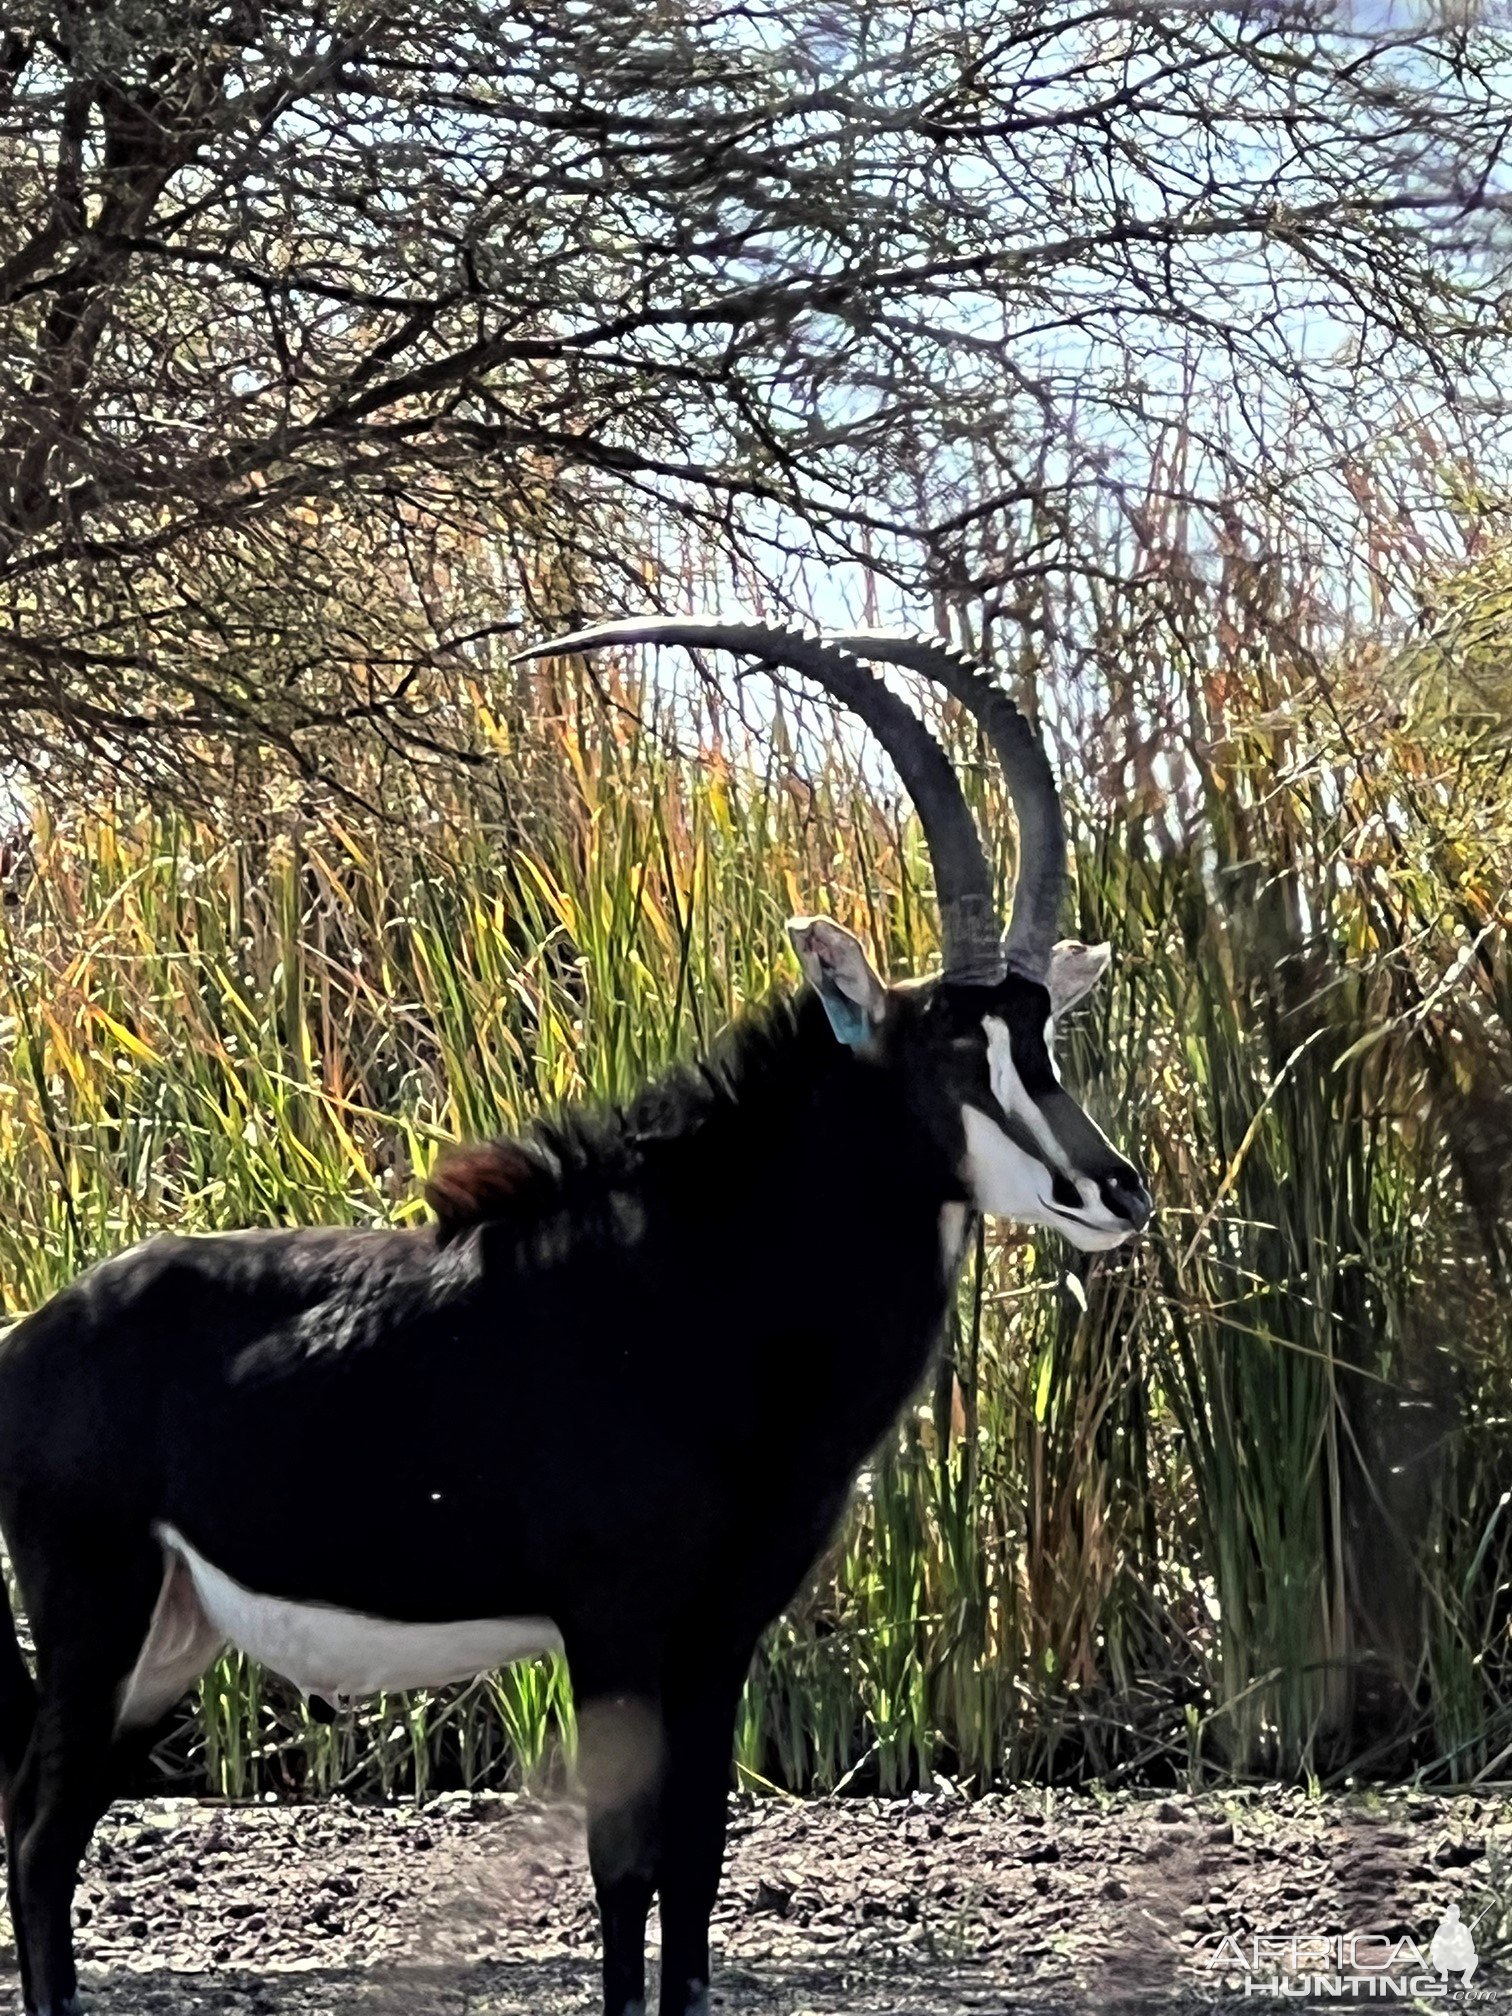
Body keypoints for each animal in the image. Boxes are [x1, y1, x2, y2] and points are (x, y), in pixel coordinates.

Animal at [0, 616, 1145, 2016]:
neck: (702, 1294)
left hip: (167, 1637)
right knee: (40, 1834)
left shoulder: (718, 1640)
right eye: (948, 1050)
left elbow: (696, 1872)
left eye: (1044, 1038)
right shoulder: (611, 1629)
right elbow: (623, 1872)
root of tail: (30, 1337)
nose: (1115, 1190)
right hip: (94, 1613)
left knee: (47, 1826)